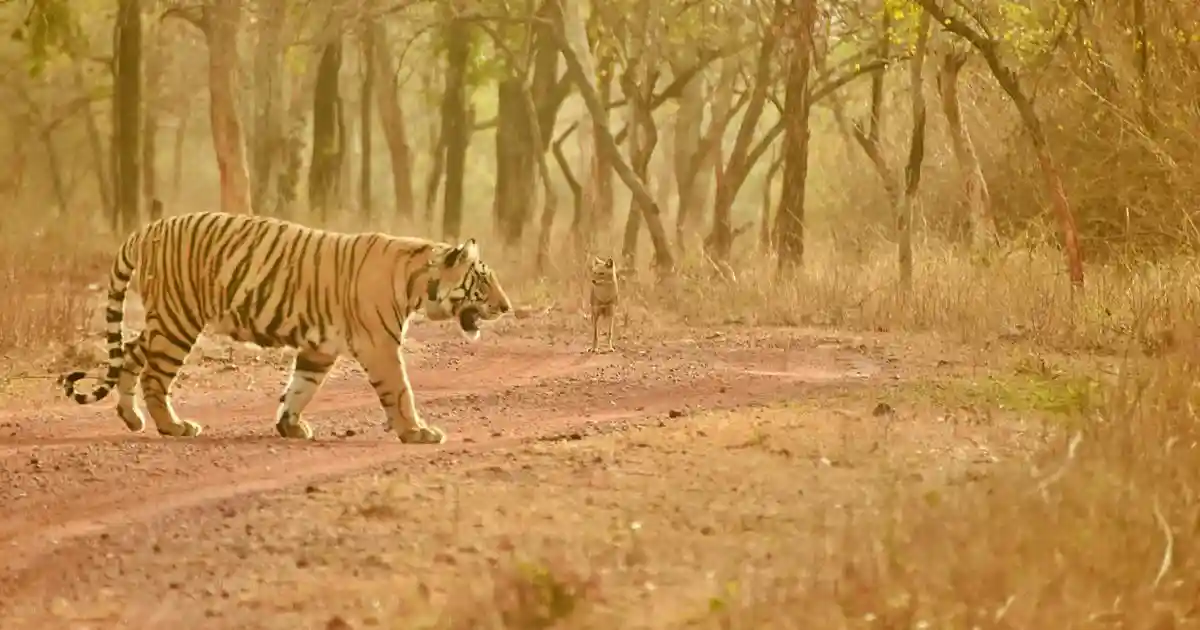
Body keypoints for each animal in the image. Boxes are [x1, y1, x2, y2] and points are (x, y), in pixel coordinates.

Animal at [60, 210, 513, 444]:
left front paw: (290, 426)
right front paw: (418, 432)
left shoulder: (321, 347)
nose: (507, 307)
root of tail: (148, 228)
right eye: (483, 280)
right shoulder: (379, 345)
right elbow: (400, 391)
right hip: (178, 320)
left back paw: (131, 417)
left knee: (130, 354)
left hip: (166, 320)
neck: (417, 282)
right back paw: (173, 426)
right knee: (154, 375)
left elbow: (301, 387)